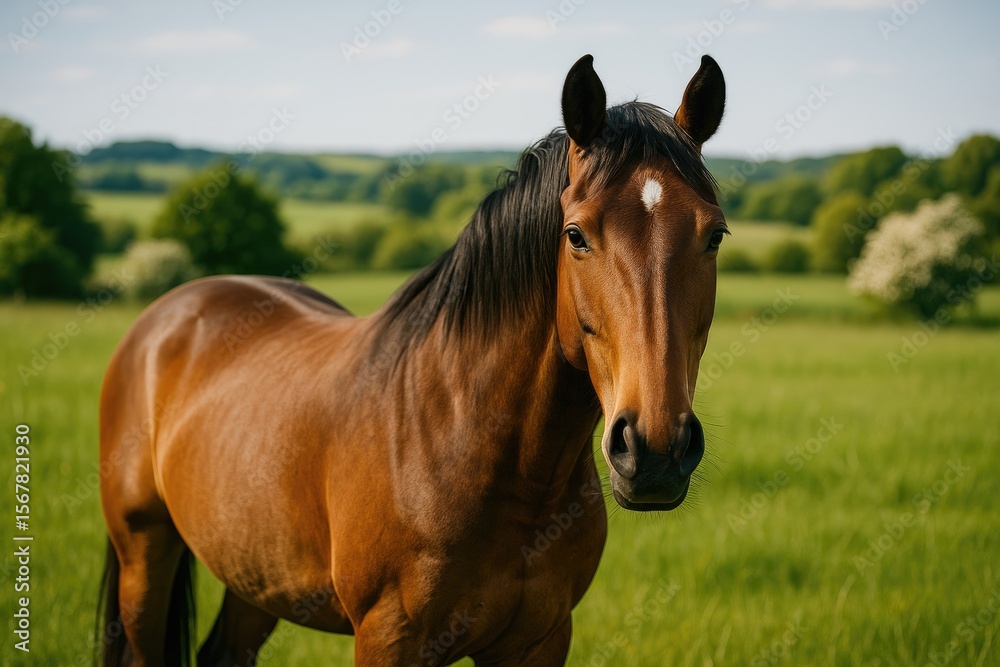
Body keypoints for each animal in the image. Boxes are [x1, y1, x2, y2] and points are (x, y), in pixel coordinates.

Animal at [97, 53, 727, 666]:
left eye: (715, 235)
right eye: (575, 235)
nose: (654, 450)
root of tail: (167, 314)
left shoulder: (541, 640)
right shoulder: (388, 637)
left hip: (256, 571)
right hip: (144, 554)